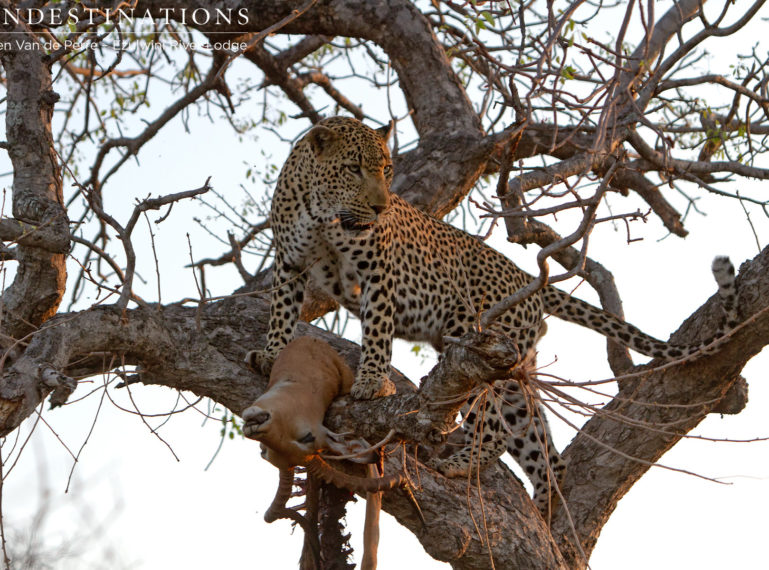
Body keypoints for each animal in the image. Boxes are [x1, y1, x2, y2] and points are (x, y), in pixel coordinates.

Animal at [250, 115, 736, 510]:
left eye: (386, 171)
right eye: (353, 169)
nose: (381, 206)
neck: (321, 214)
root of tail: (527, 278)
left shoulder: (379, 271)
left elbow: (378, 331)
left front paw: (372, 381)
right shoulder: (290, 261)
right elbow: (281, 309)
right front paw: (271, 353)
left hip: (477, 342)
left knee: (494, 423)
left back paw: (463, 464)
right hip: (511, 363)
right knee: (540, 444)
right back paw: (544, 511)